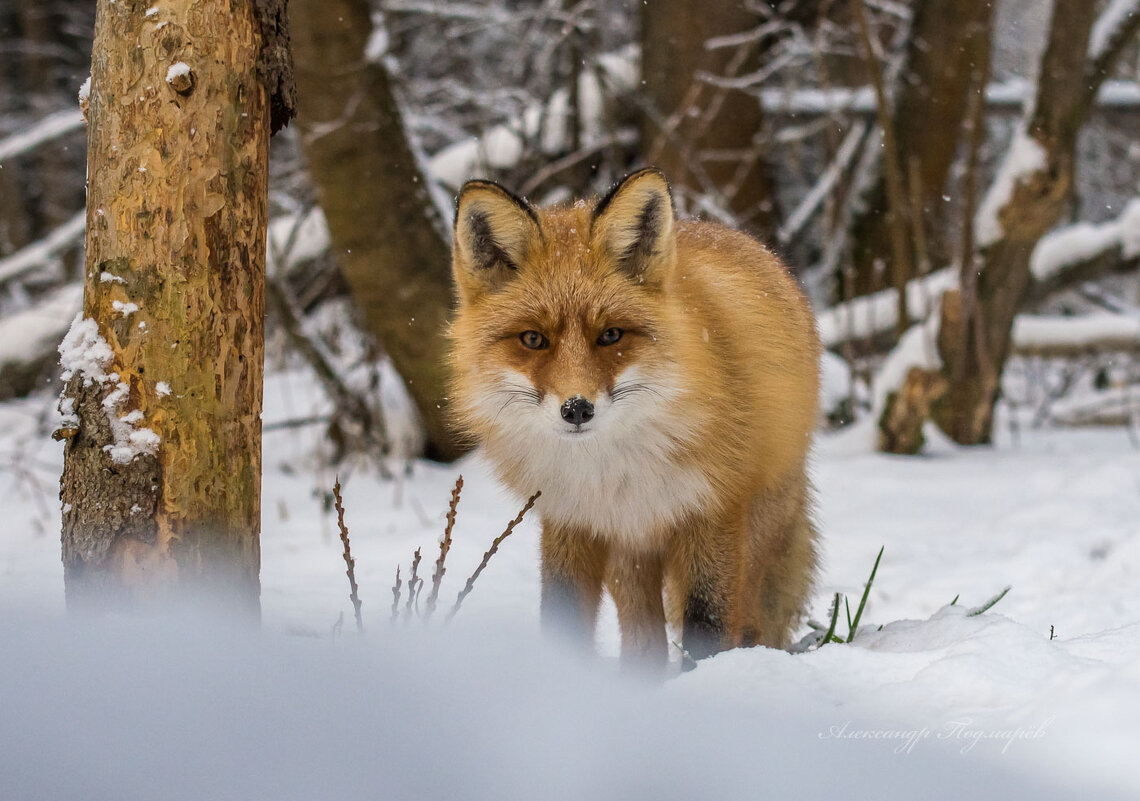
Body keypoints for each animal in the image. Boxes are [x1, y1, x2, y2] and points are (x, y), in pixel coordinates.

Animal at [446, 170, 820, 669]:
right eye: (533, 339)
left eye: (610, 335)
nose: (576, 408)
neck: (611, 471)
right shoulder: (571, 521)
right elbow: (562, 620)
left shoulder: (711, 513)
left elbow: (707, 625)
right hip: (631, 555)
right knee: (643, 639)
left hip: (756, 528)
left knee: (749, 621)